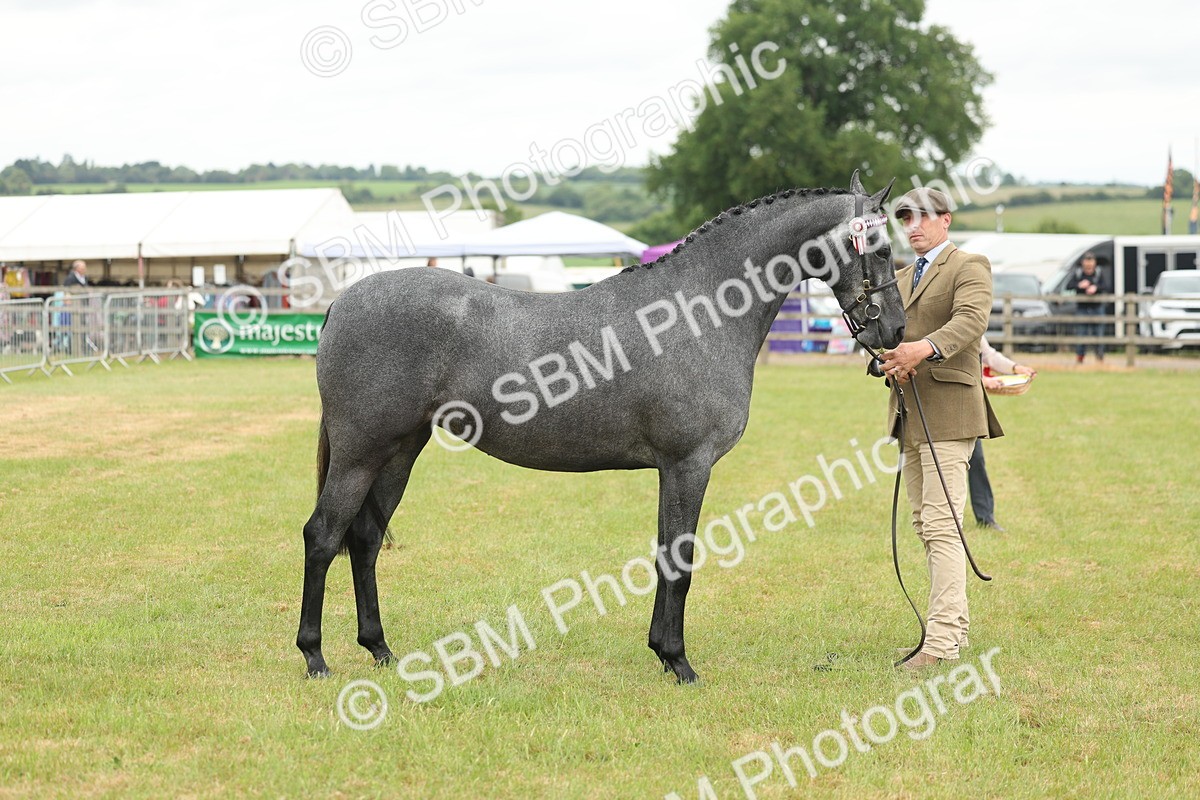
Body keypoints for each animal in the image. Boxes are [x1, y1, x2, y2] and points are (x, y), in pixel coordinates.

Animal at [296, 172, 904, 683]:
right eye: (880, 248)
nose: (896, 330)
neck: (694, 312)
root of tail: (342, 301)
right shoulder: (689, 464)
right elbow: (681, 558)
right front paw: (680, 663)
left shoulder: (672, 470)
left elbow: (665, 553)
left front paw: (662, 652)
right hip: (360, 453)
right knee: (323, 536)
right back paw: (315, 657)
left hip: (399, 451)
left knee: (365, 539)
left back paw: (380, 649)